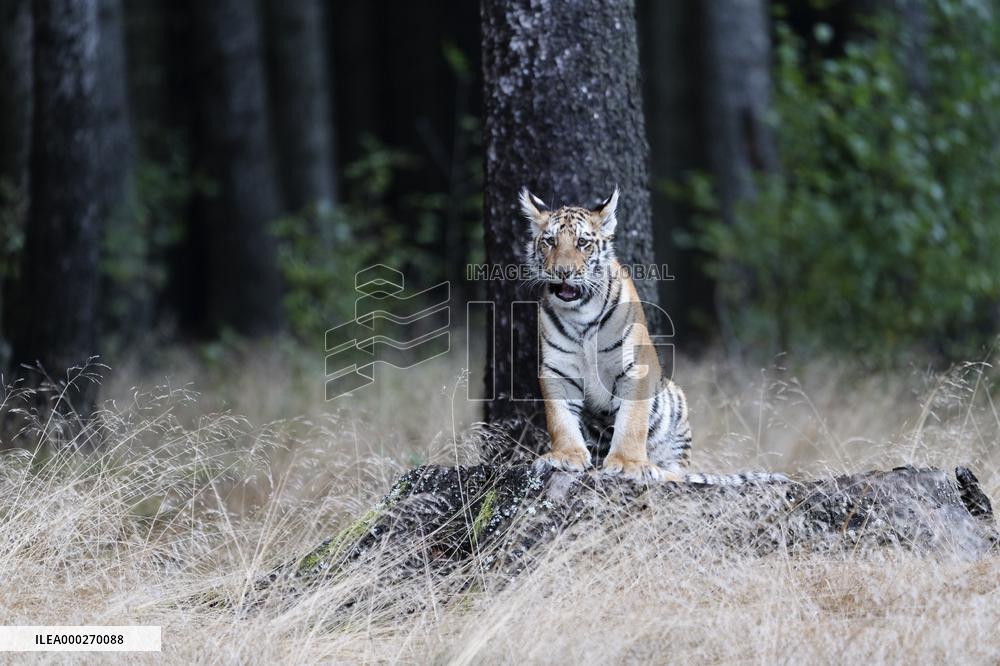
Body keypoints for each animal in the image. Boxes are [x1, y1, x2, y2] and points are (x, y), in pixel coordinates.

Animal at [520, 186, 786, 485]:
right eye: (550, 241)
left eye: (582, 242)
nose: (562, 272)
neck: (580, 313)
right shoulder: (558, 370)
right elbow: (560, 418)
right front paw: (565, 456)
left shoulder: (636, 366)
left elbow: (632, 421)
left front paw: (628, 464)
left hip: (675, 402)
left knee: (679, 473)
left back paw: (659, 471)